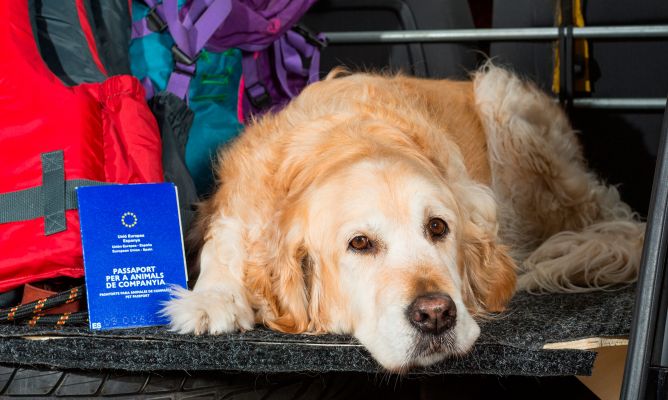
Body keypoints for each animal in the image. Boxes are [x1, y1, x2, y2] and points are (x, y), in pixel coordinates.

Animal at [163, 65, 648, 372]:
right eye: (359, 243)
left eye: (438, 227)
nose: (435, 315)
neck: (348, 139)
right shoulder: (240, 203)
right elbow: (223, 241)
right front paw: (211, 299)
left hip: (508, 111)